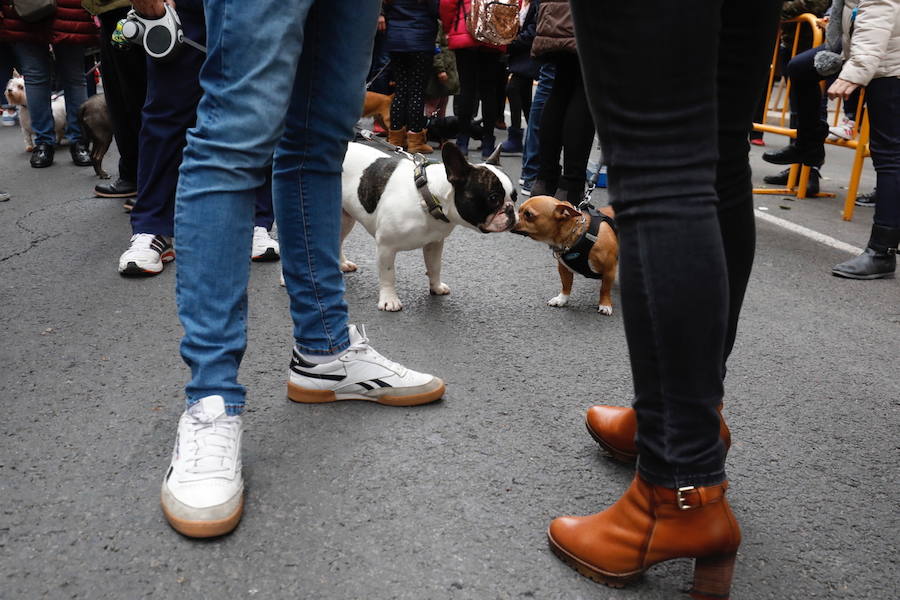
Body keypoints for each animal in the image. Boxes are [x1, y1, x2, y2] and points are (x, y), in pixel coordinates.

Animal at [342, 141, 516, 310]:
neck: (428, 199)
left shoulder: (435, 243)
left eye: (515, 196)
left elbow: (435, 266)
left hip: (346, 220)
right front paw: (389, 300)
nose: (511, 209)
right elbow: (388, 274)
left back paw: (343, 263)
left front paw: (436, 287)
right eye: (493, 198)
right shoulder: (386, 246)